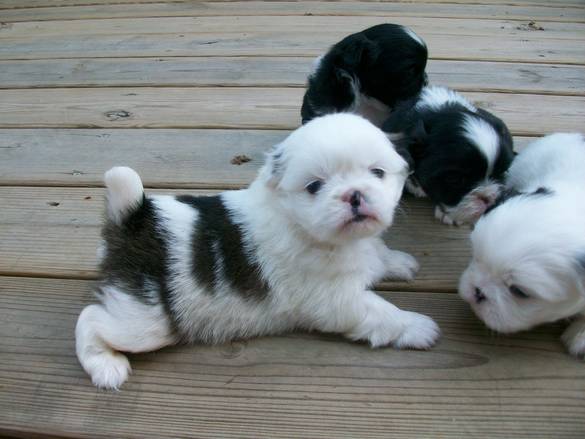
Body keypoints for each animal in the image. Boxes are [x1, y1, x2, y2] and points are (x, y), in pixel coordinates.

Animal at [75, 114, 438, 392]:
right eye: (315, 186)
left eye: (377, 173)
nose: (355, 195)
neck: (297, 222)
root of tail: (132, 218)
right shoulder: (337, 301)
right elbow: (381, 312)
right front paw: (417, 326)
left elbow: (377, 252)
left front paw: (396, 262)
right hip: (145, 322)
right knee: (91, 319)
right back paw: (105, 365)